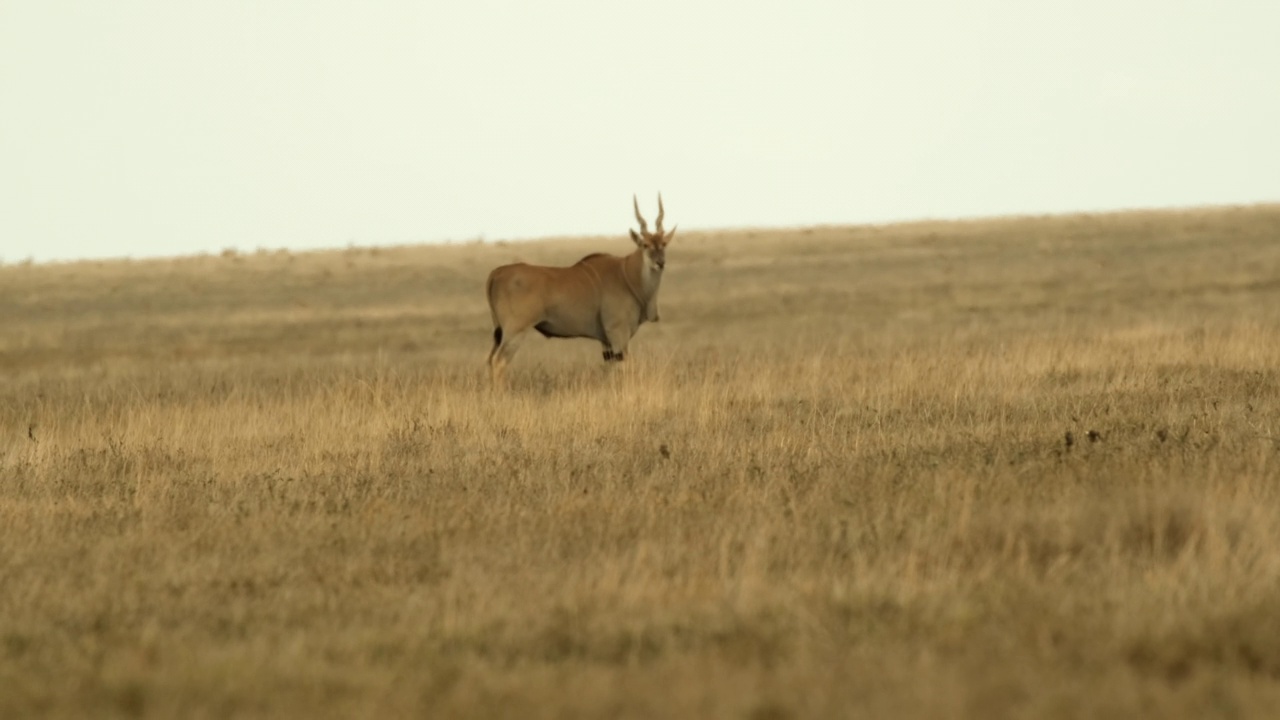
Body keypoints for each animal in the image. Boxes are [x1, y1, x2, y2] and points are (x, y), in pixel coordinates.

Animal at [483, 190, 675, 381]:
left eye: (664, 244)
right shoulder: (618, 333)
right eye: (645, 245)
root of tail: (497, 273)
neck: (626, 274)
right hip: (515, 331)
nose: (660, 263)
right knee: (499, 362)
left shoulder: (606, 341)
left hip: (500, 333)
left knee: (490, 360)